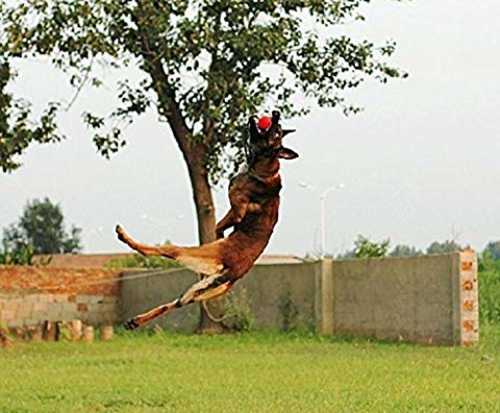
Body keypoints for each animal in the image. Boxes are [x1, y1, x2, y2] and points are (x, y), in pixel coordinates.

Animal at [116, 111, 298, 329]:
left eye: (276, 132)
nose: (275, 113)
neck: (264, 168)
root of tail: (233, 273)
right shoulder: (232, 214)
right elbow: (220, 224)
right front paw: (219, 233)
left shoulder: (237, 206)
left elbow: (229, 214)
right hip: (198, 291)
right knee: (174, 304)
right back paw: (136, 321)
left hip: (195, 256)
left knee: (164, 250)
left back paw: (125, 237)